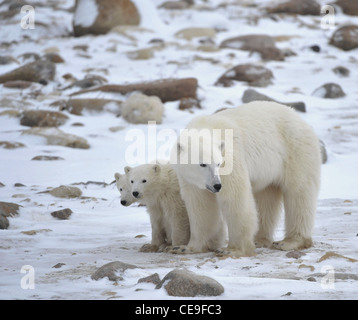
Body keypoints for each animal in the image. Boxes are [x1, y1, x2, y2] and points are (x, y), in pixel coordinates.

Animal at [171, 101, 322, 256]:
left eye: (218, 163)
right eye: (202, 164)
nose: (217, 185)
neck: (206, 127)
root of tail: (300, 118)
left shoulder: (230, 157)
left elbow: (235, 197)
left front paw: (232, 249)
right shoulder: (189, 180)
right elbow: (200, 205)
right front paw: (185, 247)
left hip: (296, 150)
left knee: (299, 193)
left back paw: (289, 242)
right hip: (268, 170)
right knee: (266, 197)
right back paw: (260, 239)